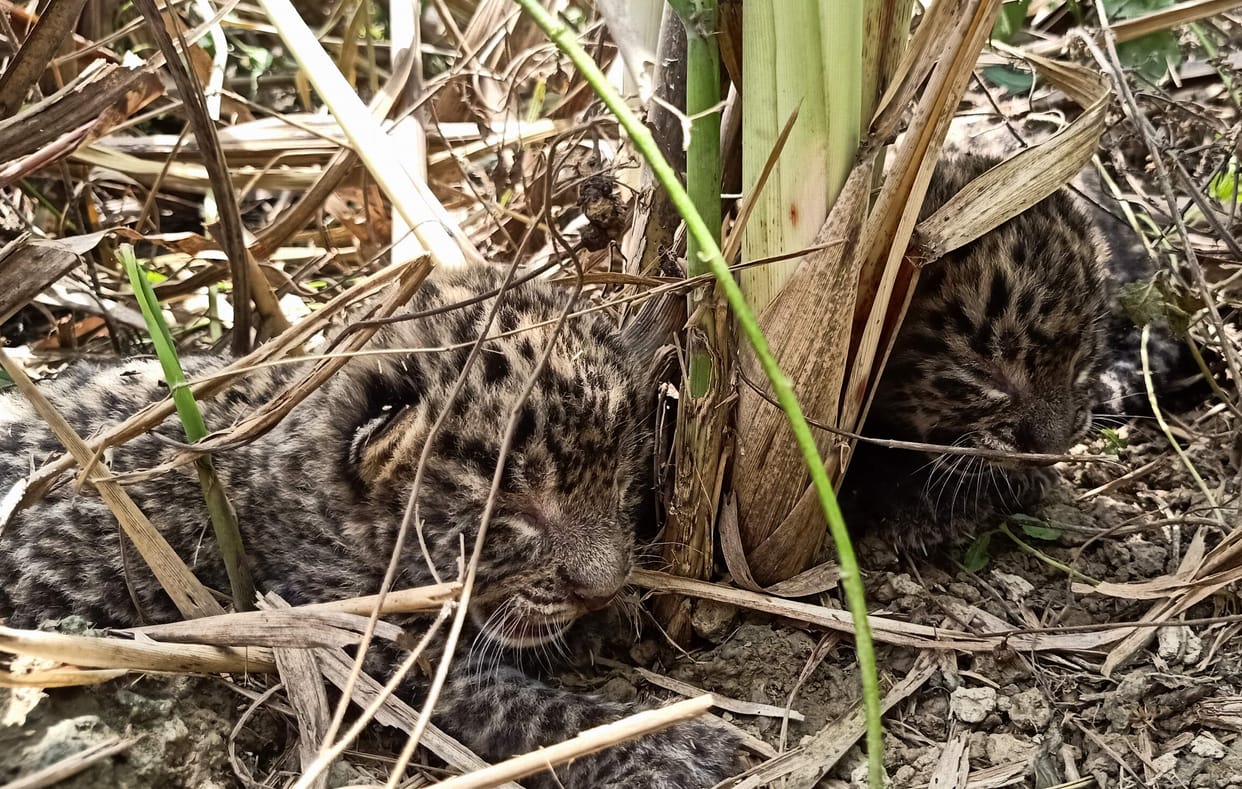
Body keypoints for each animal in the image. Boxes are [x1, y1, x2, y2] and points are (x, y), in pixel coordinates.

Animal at [0, 264, 740, 788]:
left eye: (621, 482)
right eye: (511, 516)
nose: (605, 585)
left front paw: (609, 619)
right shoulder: (370, 640)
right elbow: (529, 710)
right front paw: (673, 743)